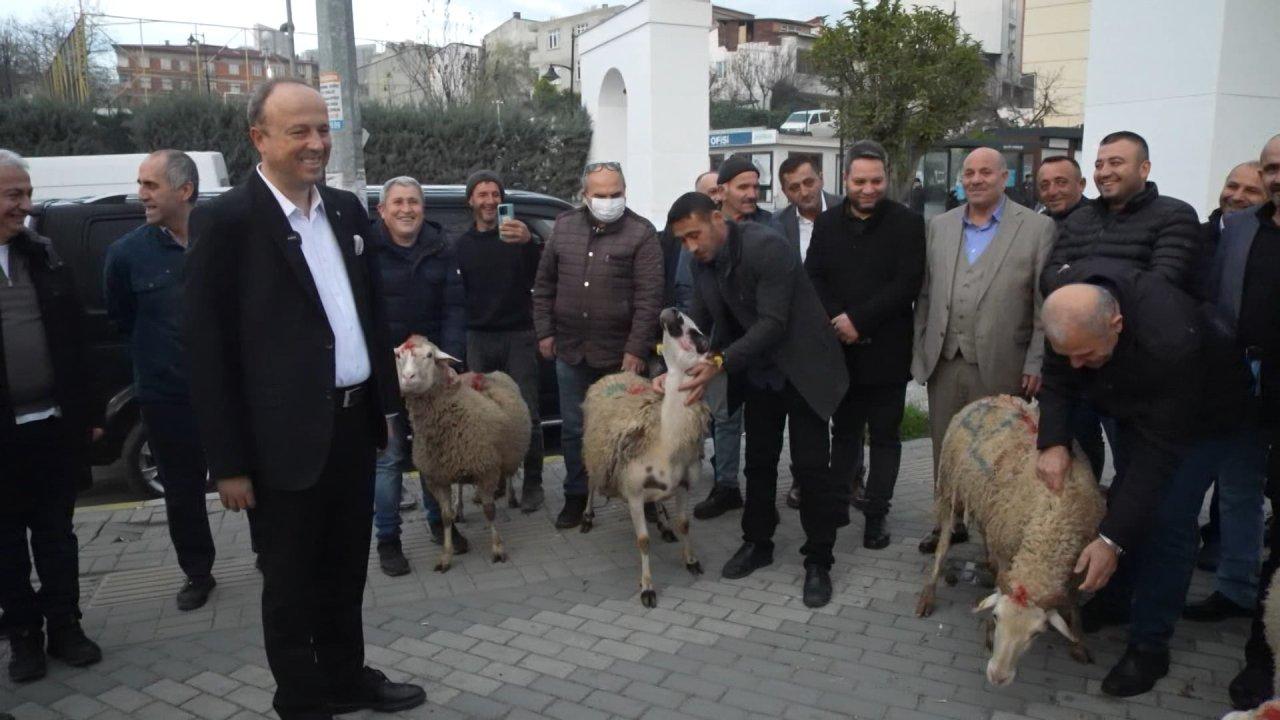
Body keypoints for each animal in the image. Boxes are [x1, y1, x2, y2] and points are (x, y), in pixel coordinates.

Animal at [389, 333, 529, 571]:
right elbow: (445, 517)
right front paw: (446, 555)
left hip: (508, 452)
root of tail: (491, 372)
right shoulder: (437, 477)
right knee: (462, 485)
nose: (408, 377)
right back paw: (461, 507)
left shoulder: (486, 469)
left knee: (510, 473)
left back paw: (511, 496)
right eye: (399, 356)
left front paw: (497, 549)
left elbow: (490, 510)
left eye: (429, 355)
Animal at [578, 308, 711, 604]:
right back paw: (587, 518)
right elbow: (643, 541)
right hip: (596, 453)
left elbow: (685, 524)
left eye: (697, 335)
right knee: (591, 483)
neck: (665, 442)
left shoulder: (683, 485)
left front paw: (692, 561)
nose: (671, 310)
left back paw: (663, 523)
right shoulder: (634, 493)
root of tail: (617, 373)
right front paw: (647, 588)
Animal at [916, 392, 1105, 681]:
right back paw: (929, 593)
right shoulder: (1009, 552)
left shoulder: (1079, 564)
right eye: (995, 617)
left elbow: (1073, 603)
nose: (998, 676)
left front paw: (1079, 642)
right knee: (943, 545)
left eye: (1037, 633)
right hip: (950, 486)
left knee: (985, 533)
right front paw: (988, 636)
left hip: (990, 504)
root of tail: (990, 397)